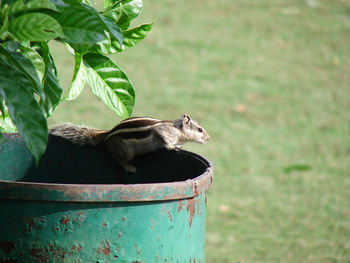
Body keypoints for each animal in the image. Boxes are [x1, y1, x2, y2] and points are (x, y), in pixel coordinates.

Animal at [50, 114, 211, 173]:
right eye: (200, 129)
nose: (209, 138)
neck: (176, 128)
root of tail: (107, 133)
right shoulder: (163, 132)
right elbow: (165, 141)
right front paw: (174, 146)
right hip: (125, 151)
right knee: (117, 158)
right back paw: (128, 167)